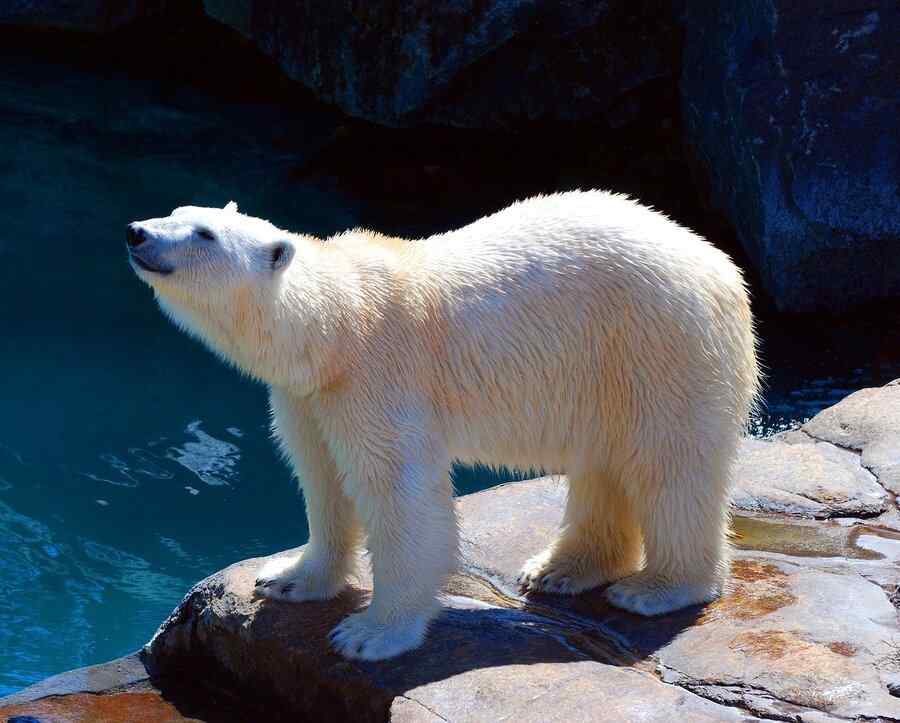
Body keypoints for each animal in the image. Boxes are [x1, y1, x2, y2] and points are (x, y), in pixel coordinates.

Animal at [127, 191, 760, 661]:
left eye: (204, 235)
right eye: (176, 212)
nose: (137, 231)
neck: (337, 325)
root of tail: (723, 268)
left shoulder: (379, 379)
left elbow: (400, 494)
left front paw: (370, 634)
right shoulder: (309, 396)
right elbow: (322, 477)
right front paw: (288, 578)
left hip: (659, 344)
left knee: (669, 465)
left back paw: (657, 589)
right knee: (603, 463)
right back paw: (560, 570)